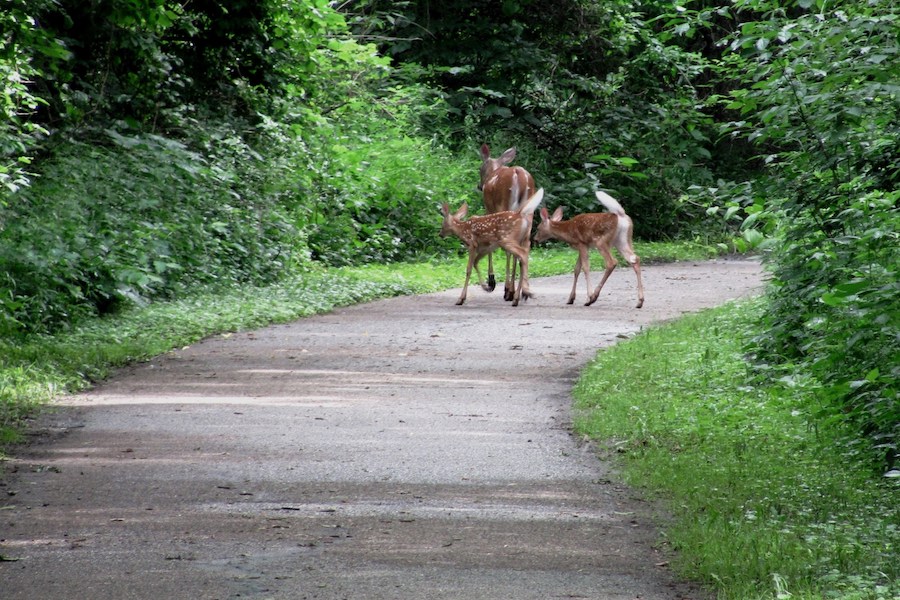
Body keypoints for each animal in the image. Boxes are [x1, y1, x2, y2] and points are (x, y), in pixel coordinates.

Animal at [478, 144, 536, 302]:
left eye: (479, 168)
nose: (479, 186)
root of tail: (518, 174)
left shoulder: (489, 209)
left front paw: (491, 281)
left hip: (505, 206)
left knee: (510, 245)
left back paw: (509, 291)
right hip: (529, 212)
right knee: (525, 244)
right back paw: (523, 291)